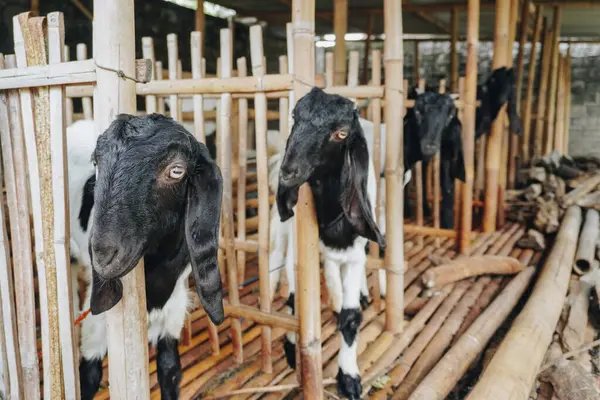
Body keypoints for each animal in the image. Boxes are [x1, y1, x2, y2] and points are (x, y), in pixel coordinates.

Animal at [66, 114, 225, 398]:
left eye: (176, 170)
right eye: (97, 162)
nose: (103, 255)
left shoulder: (173, 311)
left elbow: (170, 370)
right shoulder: (97, 324)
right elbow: (89, 375)